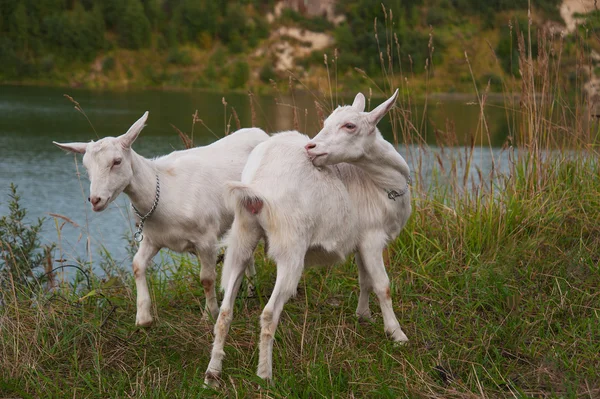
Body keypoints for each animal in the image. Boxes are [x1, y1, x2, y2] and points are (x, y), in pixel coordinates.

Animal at [54, 111, 270, 326]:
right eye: (86, 166)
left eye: (117, 161)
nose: (95, 200)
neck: (164, 191)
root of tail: (262, 133)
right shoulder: (152, 239)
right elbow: (137, 265)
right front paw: (143, 317)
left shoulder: (206, 239)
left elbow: (207, 278)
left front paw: (209, 314)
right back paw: (250, 291)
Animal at [206, 89, 412, 382]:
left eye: (350, 125)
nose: (311, 147)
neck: (379, 184)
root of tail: (257, 184)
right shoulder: (373, 238)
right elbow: (382, 286)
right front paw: (397, 334)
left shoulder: (360, 240)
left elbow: (365, 280)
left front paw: (363, 316)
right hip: (290, 247)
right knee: (268, 314)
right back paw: (265, 375)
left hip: (243, 235)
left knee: (225, 311)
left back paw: (212, 374)